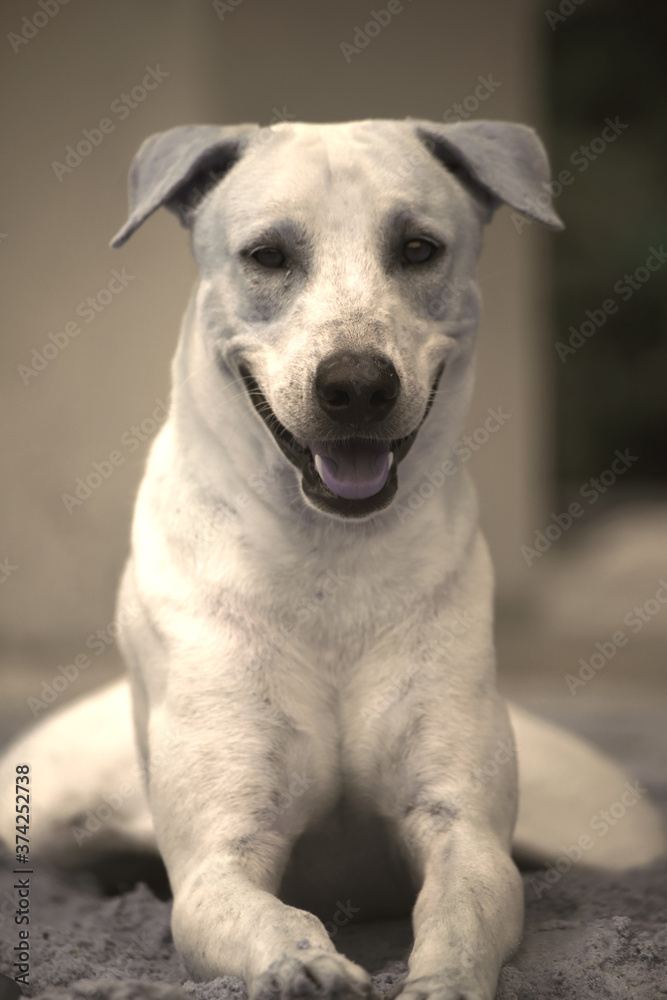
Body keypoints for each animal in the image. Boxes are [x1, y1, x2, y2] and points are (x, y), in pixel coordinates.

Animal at [2, 119, 664, 1000]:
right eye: (267, 255)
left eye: (417, 248)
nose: (354, 385)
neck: (329, 561)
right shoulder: (218, 858)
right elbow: (269, 913)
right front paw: (302, 964)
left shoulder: (463, 829)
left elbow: (461, 913)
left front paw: (441, 980)